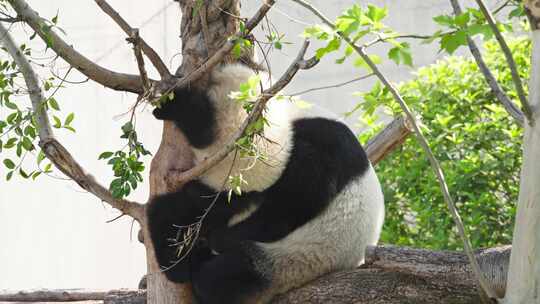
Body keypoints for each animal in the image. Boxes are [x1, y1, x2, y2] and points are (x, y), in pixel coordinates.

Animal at [147, 63, 384, 304]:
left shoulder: (321, 147)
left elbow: (293, 202)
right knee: (172, 212)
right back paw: (177, 258)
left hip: (289, 260)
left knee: (221, 276)